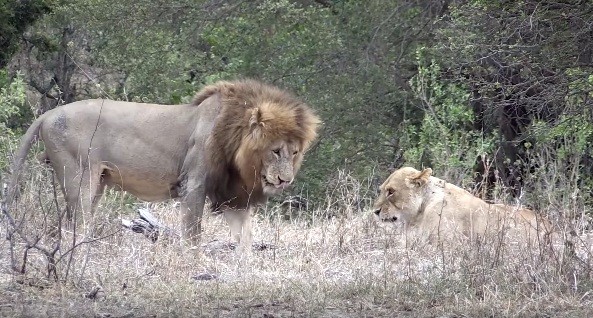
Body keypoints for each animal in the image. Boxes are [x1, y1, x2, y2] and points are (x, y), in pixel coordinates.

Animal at [4, 78, 320, 250]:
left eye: (294, 152)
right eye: (276, 151)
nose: (285, 180)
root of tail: (48, 114)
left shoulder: (233, 194)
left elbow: (245, 237)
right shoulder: (193, 184)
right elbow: (193, 232)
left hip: (95, 184)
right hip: (79, 176)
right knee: (77, 223)